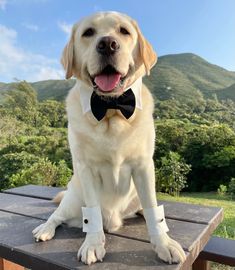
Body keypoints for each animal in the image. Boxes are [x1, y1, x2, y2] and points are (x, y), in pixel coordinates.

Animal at [33, 11, 186, 264]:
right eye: (88, 33)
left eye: (124, 31)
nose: (107, 44)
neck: (111, 109)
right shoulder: (86, 168)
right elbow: (92, 213)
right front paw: (93, 244)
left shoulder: (144, 166)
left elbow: (154, 212)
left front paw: (164, 243)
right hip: (73, 198)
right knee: (57, 215)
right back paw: (45, 229)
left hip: (136, 195)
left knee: (147, 206)